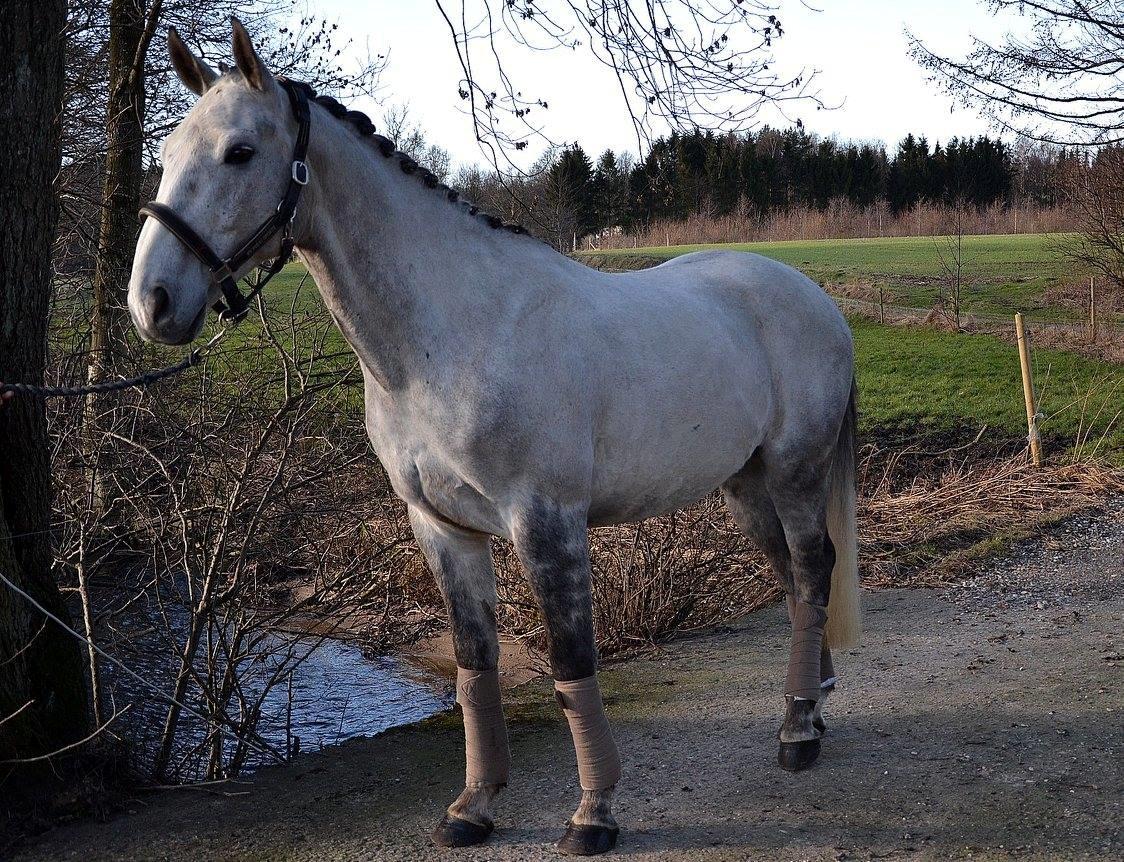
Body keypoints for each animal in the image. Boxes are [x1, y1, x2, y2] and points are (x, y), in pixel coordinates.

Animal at [129, 20, 858, 854]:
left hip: (796, 473)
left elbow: (572, 662)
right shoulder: (440, 527)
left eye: (240, 152)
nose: (153, 303)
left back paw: (797, 735)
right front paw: (473, 807)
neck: (452, 338)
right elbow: (475, 665)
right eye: (166, 151)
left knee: (812, 571)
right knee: (795, 577)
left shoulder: (546, 523)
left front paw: (592, 815)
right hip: (745, 486)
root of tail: (813, 298)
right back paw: (810, 709)